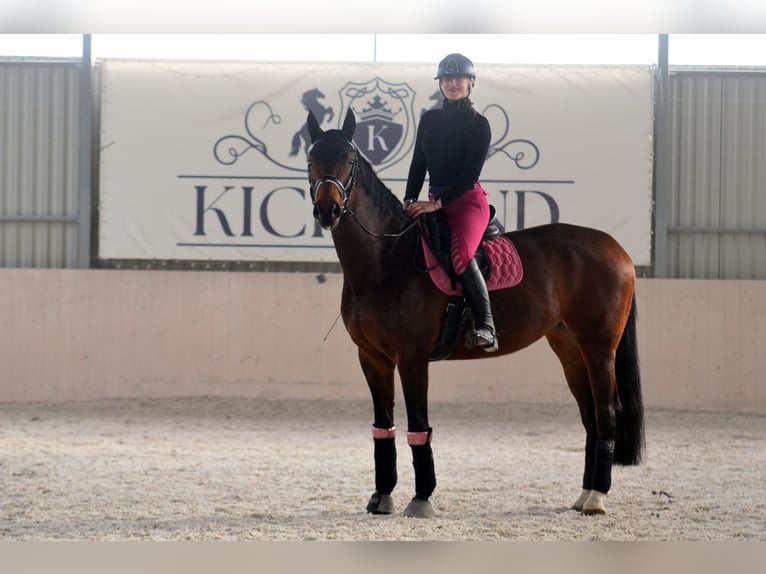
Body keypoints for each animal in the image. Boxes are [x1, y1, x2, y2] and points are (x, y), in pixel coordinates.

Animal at [306, 108, 644, 518]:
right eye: (311, 158)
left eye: (349, 160)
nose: (328, 210)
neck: (385, 259)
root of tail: (616, 249)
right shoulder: (372, 358)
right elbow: (382, 427)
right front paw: (381, 496)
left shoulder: (412, 358)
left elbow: (418, 426)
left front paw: (421, 498)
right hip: (569, 348)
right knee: (590, 415)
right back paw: (582, 495)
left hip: (599, 348)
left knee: (608, 411)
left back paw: (597, 497)